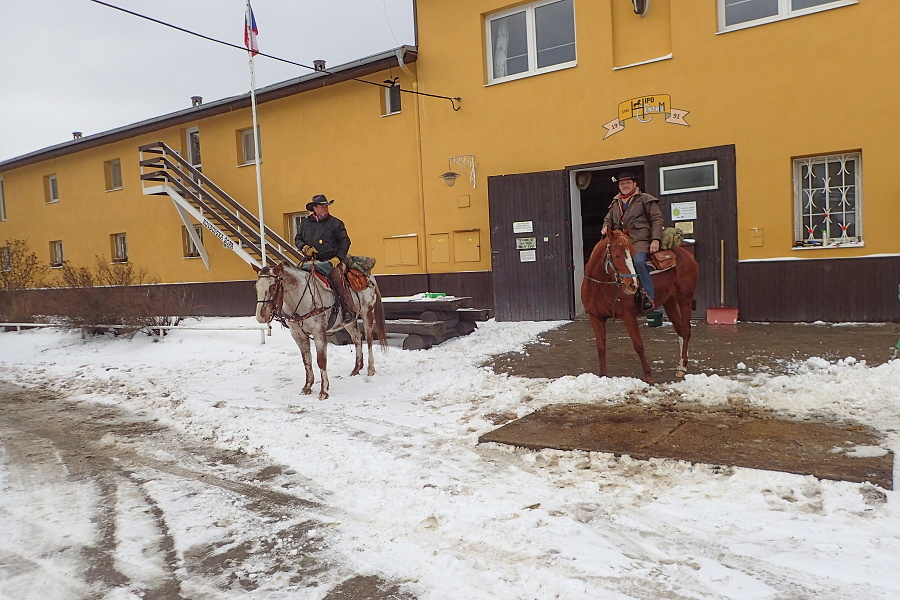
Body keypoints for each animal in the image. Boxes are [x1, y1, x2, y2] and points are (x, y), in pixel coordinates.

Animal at [253, 262, 386, 398]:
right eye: (255, 287)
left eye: (272, 287)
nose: (261, 316)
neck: (301, 298)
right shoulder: (297, 335)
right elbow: (306, 360)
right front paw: (307, 387)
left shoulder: (318, 332)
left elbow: (321, 360)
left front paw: (324, 391)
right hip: (349, 321)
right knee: (357, 338)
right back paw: (356, 369)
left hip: (367, 312)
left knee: (369, 339)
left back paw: (370, 369)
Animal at [580, 230, 700, 384]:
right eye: (617, 255)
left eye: (632, 255)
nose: (632, 285)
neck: (600, 284)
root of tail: (687, 255)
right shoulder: (595, 317)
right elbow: (601, 347)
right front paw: (602, 376)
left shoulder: (628, 315)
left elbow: (638, 345)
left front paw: (648, 376)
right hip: (670, 302)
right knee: (680, 330)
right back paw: (681, 364)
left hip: (684, 299)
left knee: (686, 331)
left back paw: (683, 366)